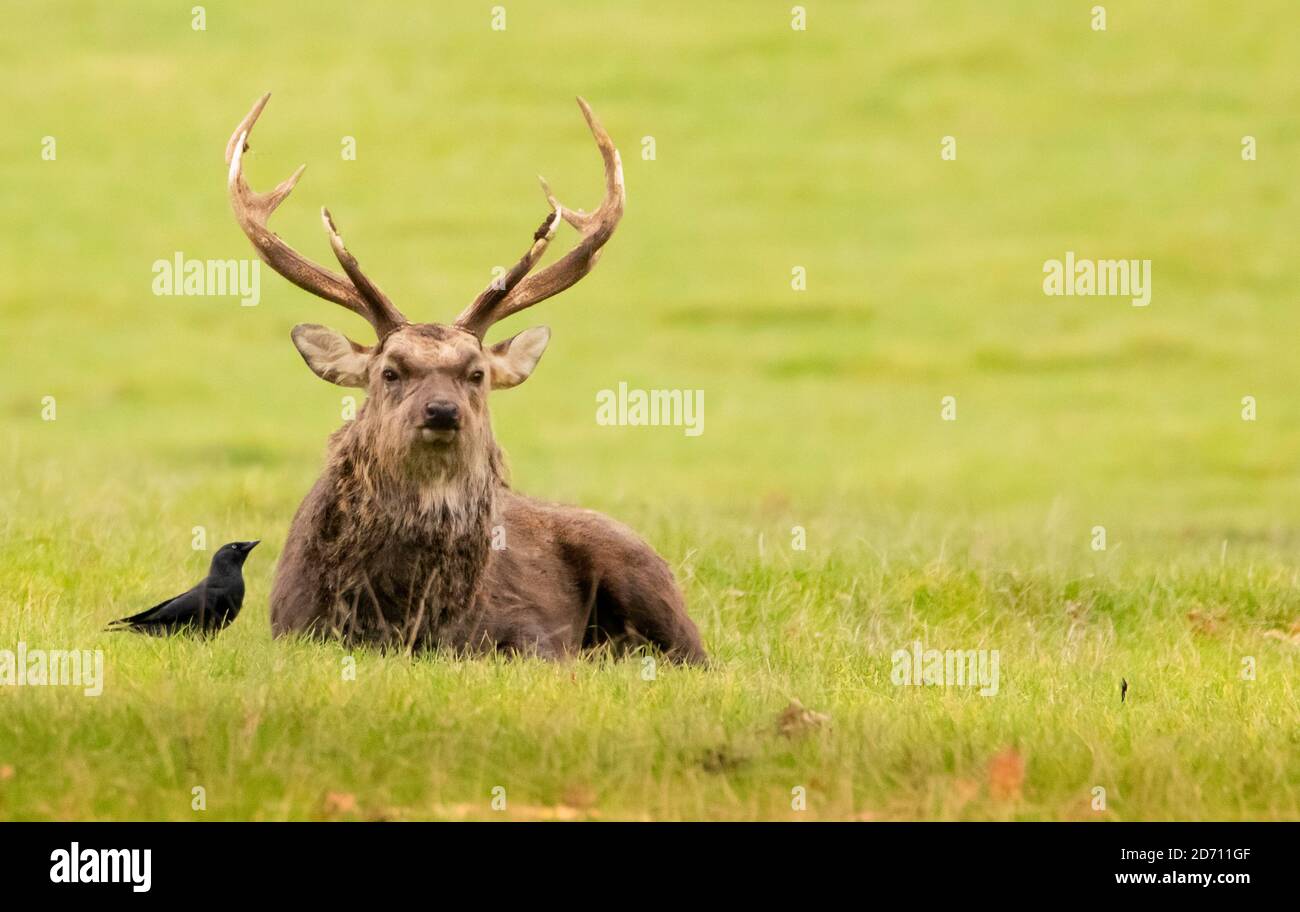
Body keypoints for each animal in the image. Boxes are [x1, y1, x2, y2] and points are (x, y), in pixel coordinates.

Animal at [224, 94, 706, 664]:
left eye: (475, 373)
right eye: (390, 371)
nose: (441, 410)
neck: (408, 619)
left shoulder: (533, 629)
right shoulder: (295, 626)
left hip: (652, 586)